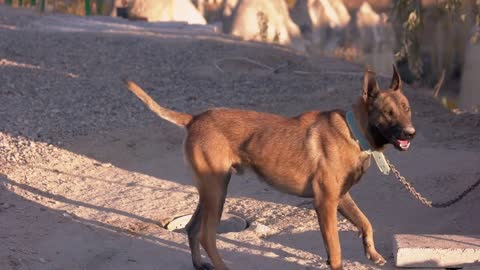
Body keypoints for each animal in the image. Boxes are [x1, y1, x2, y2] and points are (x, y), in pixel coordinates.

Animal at [125, 66, 414, 270]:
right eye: (387, 112)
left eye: (407, 108)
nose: (410, 133)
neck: (354, 133)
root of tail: (194, 119)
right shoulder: (326, 203)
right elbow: (336, 251)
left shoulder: (341, 197)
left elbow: (366, 223)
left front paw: (372, 253)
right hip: (217, 190)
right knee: (206, 235)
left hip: (209, 191)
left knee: (192, 228)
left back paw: (199, 264)